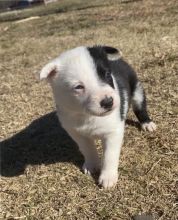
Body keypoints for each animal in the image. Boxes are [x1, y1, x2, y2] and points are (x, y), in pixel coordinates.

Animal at [40, 45, 156, 188]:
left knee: (140, 107)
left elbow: (109, 155)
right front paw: (92, 165)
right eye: (78, 87)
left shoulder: (113, 133)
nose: (108, 102)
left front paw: (108, 177)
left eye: (107, 75)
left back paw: (147, 123)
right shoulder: (77, 133)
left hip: (137, 90)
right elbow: (87, 149)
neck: (87, 115)